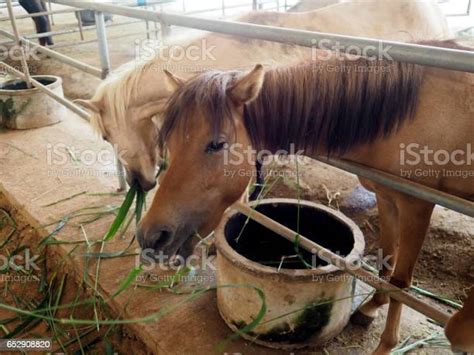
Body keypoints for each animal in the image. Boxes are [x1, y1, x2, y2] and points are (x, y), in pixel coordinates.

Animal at [137, 42, 474, 354]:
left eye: (217, 144)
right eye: (168, 141)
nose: (150, 236)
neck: (403, 116)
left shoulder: (417, 206)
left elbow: (401, 282)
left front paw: (385, 345)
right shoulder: (386, 196)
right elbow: (387, 261)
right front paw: (370, 307)